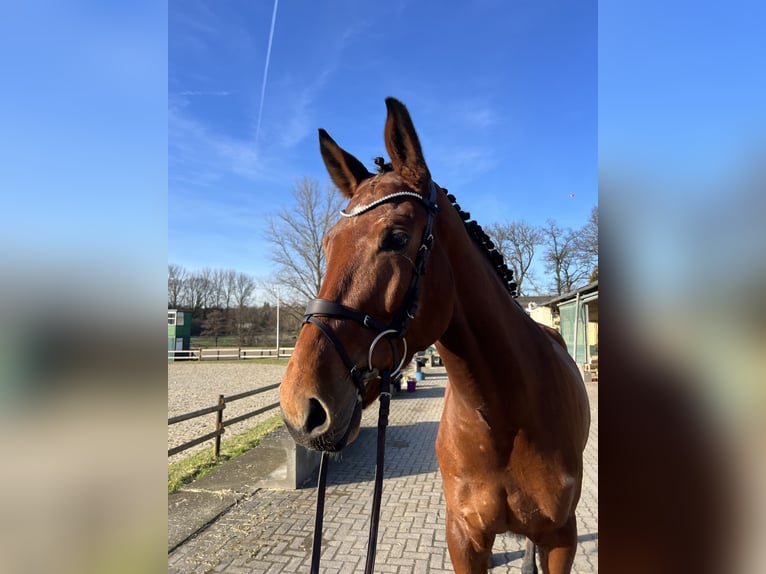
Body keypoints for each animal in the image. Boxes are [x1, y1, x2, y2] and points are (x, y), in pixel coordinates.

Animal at [282, 99, 592, 574]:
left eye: (396, 237)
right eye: (328, 243)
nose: (301, 407)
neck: (505, 417)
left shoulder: (562, 538)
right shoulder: (464, 538)